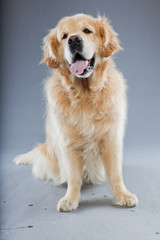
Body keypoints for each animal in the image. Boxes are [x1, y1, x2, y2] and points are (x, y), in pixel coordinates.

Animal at [13, 13, 138, 212]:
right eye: (64, 36)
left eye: (87, 30)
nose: (73, 40)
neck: (85, 94)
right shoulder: (69, 144)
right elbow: (74, 177)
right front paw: (71, 198)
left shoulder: (111, 139)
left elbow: (116, 174)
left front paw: (123, 195)